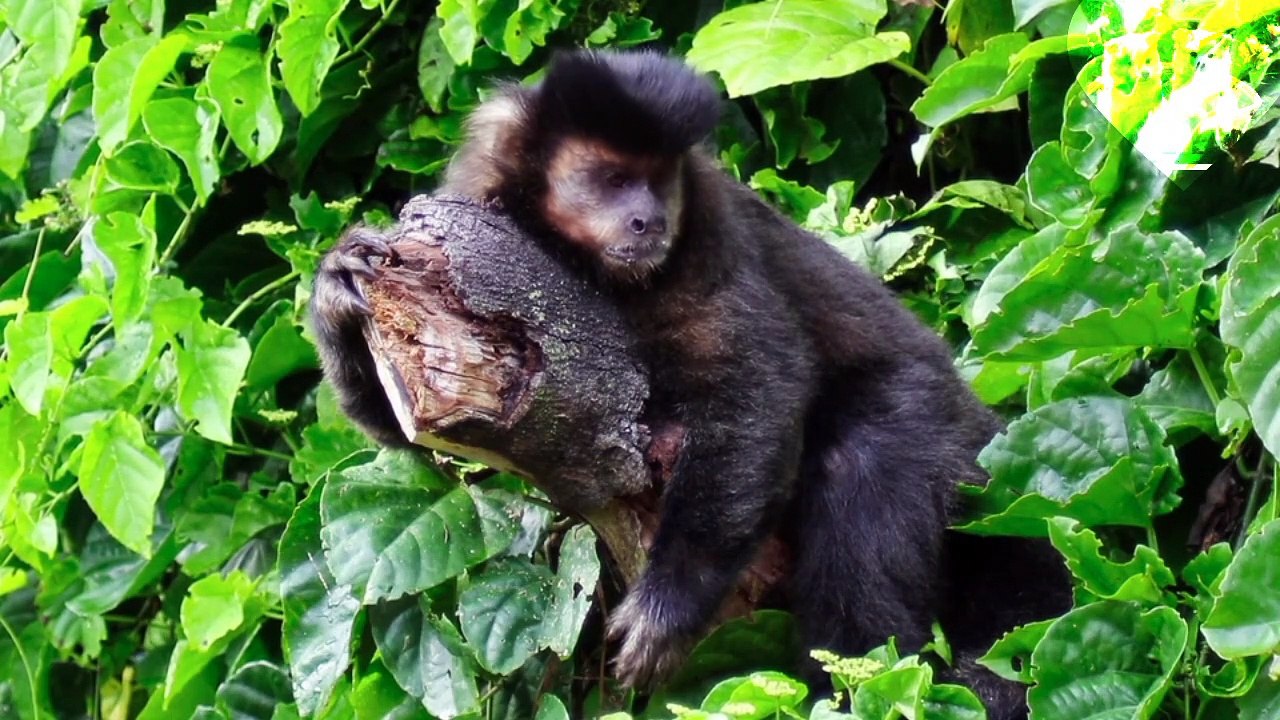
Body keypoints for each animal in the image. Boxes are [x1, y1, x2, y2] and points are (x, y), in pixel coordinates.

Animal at [310, 49, 1070, 719]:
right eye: (613, 178)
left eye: (659, 181)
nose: (649, 217)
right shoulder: (475, 200)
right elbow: (416, 440)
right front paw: (340, 288)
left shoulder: (704, 229)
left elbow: (760, 382)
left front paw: (669, 604)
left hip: (938, 416)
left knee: (866, 460)